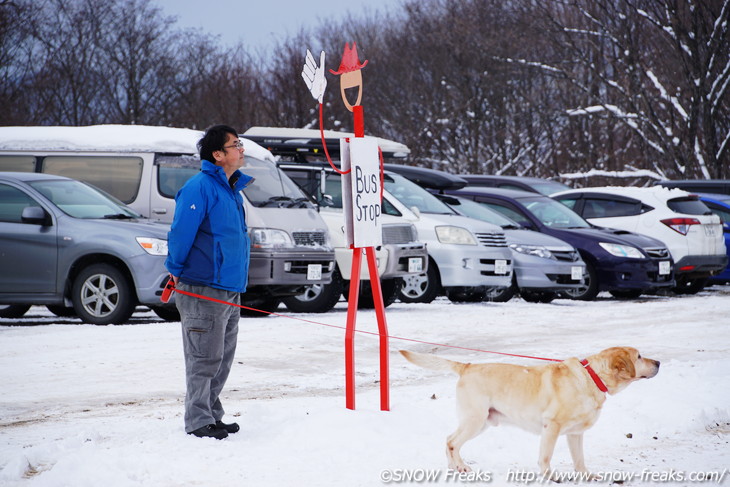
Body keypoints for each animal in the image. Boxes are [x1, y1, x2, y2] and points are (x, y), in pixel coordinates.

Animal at [400, 348, 656, 478]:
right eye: (639, 357)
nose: (659, 363)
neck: (592, 377)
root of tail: (467, 366)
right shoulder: (551, 427)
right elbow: (545, 457)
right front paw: (550, 477)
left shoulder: (575, 434)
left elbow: (580, 459)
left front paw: (586, 476)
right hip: (475, 419)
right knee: (452, 442)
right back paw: (461, 467)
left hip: (481, 422)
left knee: (448, 440)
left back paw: (454, 468)